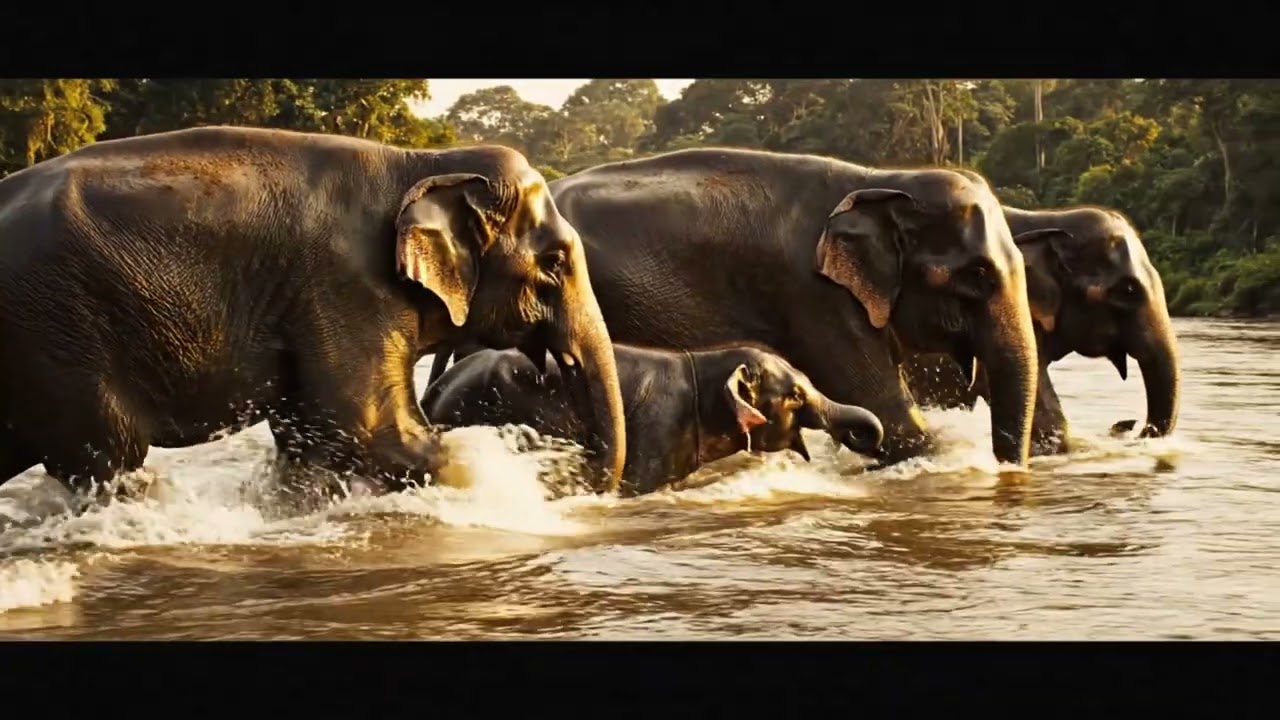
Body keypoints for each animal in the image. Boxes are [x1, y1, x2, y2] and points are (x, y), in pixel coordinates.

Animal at [0, 125, 627, 502]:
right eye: (554, 263)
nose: (581, 475)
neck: (422, 164)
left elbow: (309, 439)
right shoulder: (347, 285)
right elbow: (369, 430)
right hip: (55, 330)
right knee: (109, 456)